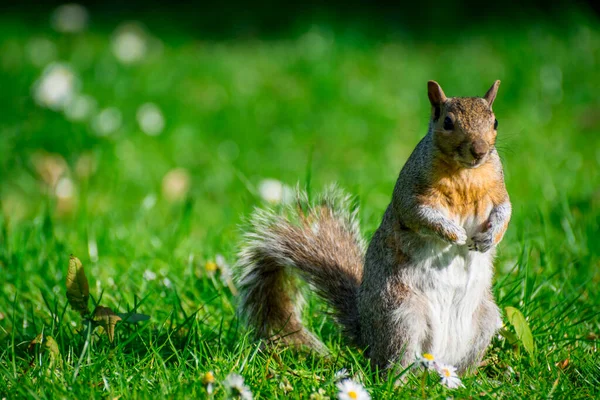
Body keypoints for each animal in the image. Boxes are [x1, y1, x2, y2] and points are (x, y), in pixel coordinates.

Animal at [234, 79, 510, 374]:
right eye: (447, 122)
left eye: (495, 122)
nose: (480, 151)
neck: (466, 173)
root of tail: (368, 339)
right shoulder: (410, 193)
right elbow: (420, 215)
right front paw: (452, 233)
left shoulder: (499, 190)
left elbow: (505, 212)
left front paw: (489, 238)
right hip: (402, 317)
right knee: (392, 364)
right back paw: (401, 379)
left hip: (485, 321)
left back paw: (466, 379)